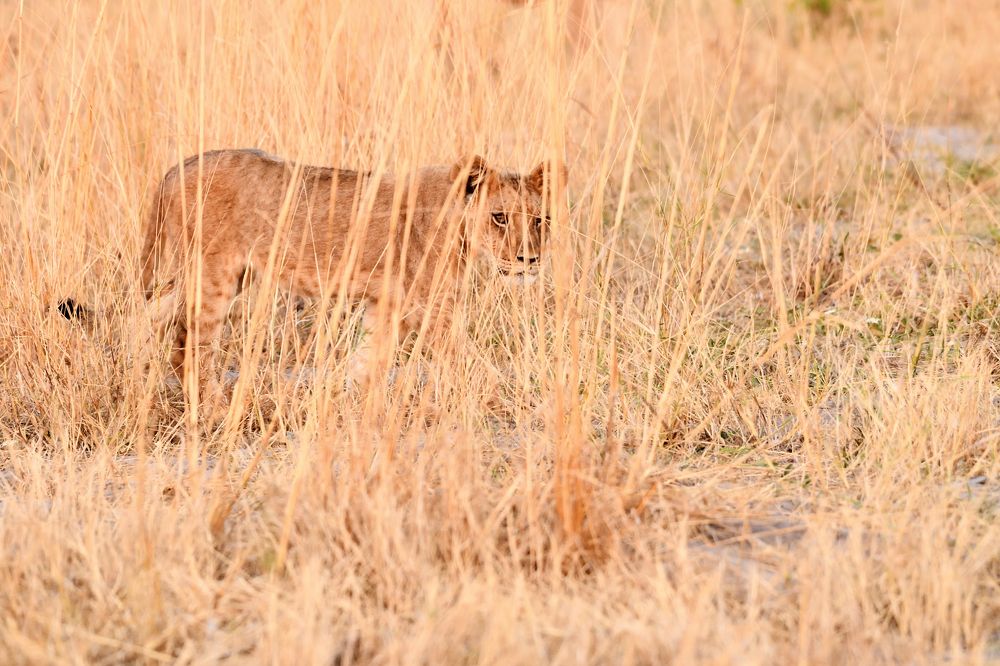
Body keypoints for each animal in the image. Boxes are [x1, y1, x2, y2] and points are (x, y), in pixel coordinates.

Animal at [62, 149, 565, 412]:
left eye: (541, 220)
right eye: (499, 218)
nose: (529, 260)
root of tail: (178, 166)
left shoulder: (387, 306)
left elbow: (366, 360)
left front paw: (341, 403)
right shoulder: (432, 308)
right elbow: (474, 363)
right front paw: (519, 405)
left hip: (206, 275)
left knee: (146, 316)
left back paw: (132, 380)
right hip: (215, 275)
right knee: (193, 343)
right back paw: (215, 410)